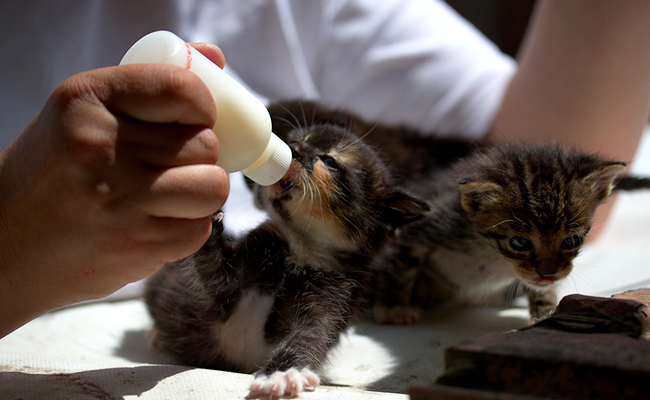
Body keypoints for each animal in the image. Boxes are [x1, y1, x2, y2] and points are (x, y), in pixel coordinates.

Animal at [142, 104, 428, 398]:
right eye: (300, 139)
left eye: (330, 162)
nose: (294, 148)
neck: (301, 248)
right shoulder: (241, 268)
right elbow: (214, 273)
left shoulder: (334, 294)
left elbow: (311, 333)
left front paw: (282, 373)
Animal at [264, 101, 648, 324]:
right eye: (518, 243)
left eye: (571, 240)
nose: (548, 274)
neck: (492, 258)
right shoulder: (422, 228)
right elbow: (400, 267)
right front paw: (393, 307)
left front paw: (544, 309)